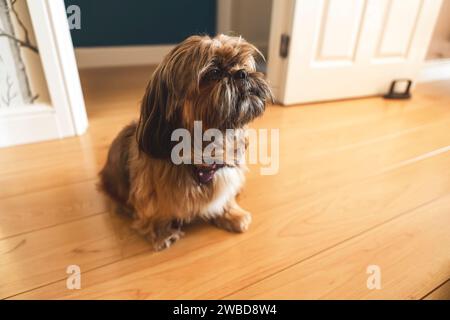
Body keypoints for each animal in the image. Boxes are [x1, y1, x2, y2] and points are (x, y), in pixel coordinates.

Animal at [99, 34, 272, 250]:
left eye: (243, 64)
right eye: (214, 72)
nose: (242, 73)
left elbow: (225, 197)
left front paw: (232, 214)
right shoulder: (150, 191)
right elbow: (156, 212)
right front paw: (162, 234)